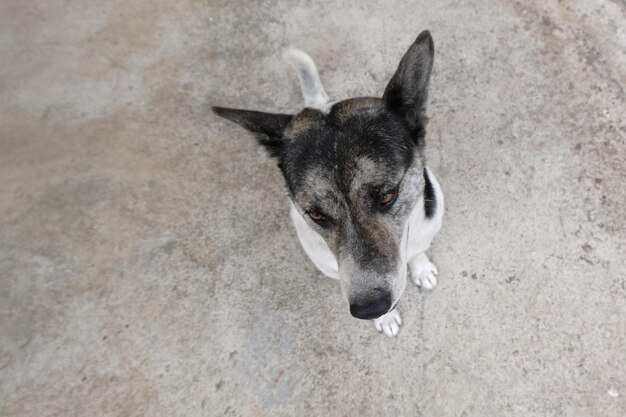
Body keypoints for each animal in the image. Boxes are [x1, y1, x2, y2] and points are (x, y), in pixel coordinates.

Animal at [214, 30, 444, 334]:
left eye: (387, 196)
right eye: (315, 214)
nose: (370, 308)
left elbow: (418, 249)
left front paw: (421, 267)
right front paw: (385, 318)